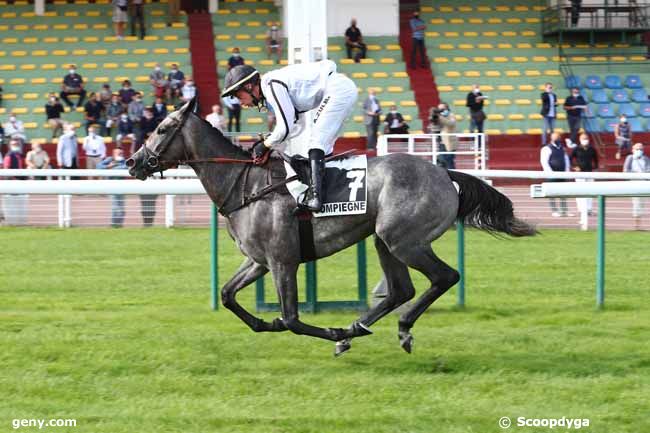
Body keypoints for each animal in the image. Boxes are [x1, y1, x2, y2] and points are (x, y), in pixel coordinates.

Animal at [128, 98, 536, 354]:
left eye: (162, 129)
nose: (133, 162)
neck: (247, 185)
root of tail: (444, 172)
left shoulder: (283, 262)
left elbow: (292, 319)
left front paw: (329, 331)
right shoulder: (259, 261)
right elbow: (228, 295)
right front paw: (269, 324)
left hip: (405, 241)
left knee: (444, 277)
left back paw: (391, 327)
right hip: (384, 241)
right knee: (400, 289)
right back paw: (361, 328)